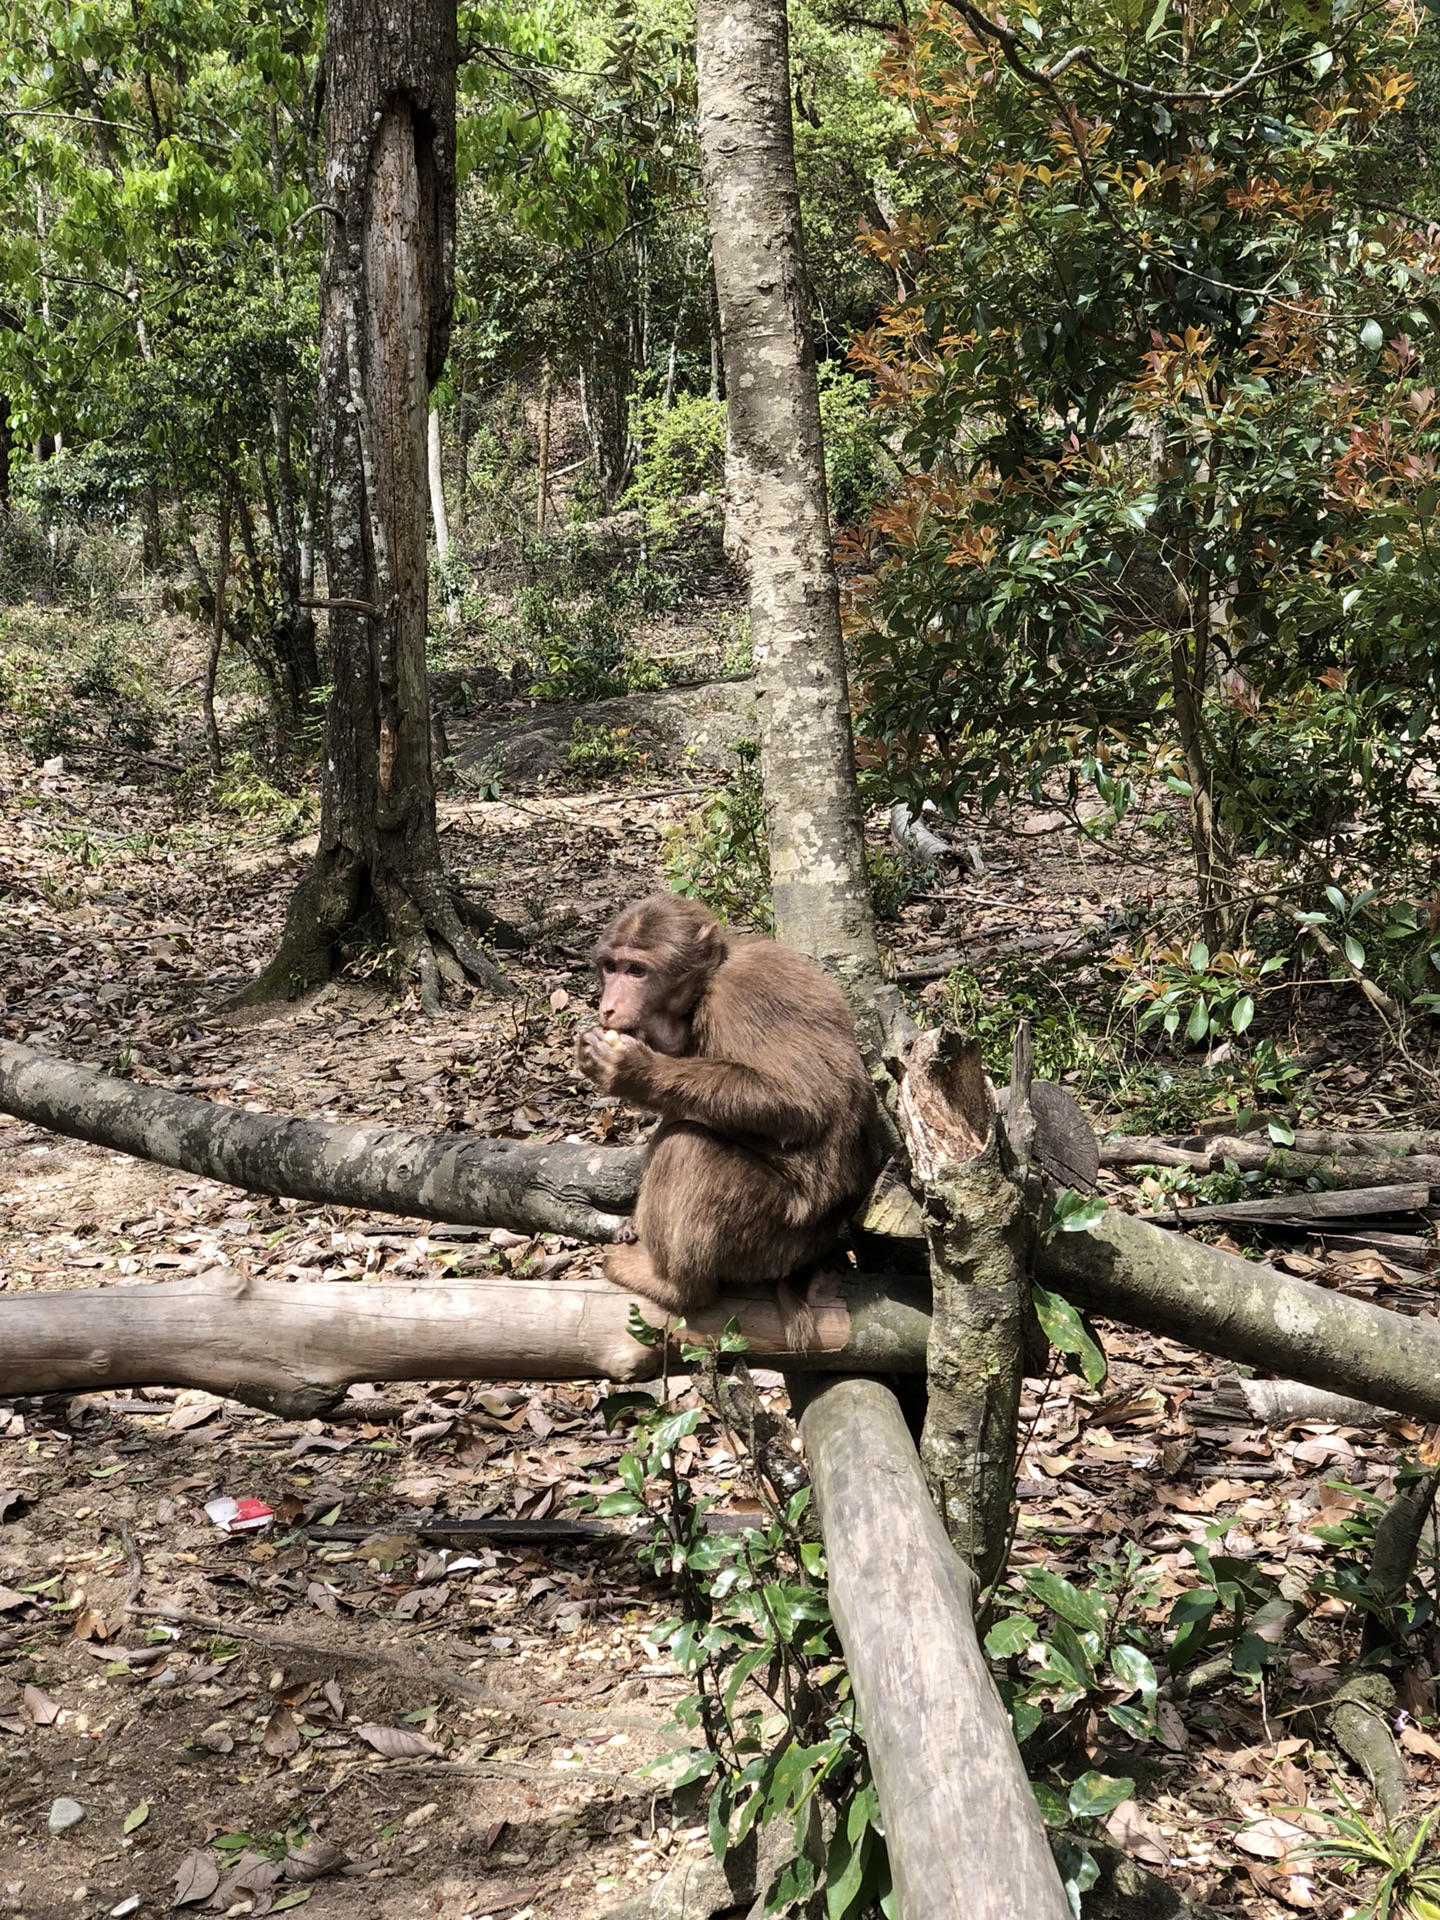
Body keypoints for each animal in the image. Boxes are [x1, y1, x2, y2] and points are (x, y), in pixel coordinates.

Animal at [576, 887, 879, 1313]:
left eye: (636, 971)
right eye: (610, 967)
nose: (608, 1006)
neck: (704, 988)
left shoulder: (743, 995)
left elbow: (802, 1102)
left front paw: (632, 1070)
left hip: (773, 1239)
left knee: (688, 1146)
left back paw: (677, 1288)